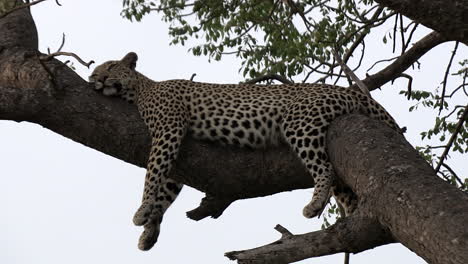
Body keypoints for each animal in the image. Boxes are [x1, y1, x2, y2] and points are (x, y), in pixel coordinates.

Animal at [88, 52, 402, 251]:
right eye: (94, 71)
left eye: (111, 66)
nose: (94, 78)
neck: (142, 89)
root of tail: (350, 90)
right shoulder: (176, 150)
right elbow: (166, 188)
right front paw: (149, 231)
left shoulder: (168, 129)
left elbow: (153, 174)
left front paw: (141, 211)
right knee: (343, 185)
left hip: (300, 122)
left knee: (323, 168)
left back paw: (314, 205)